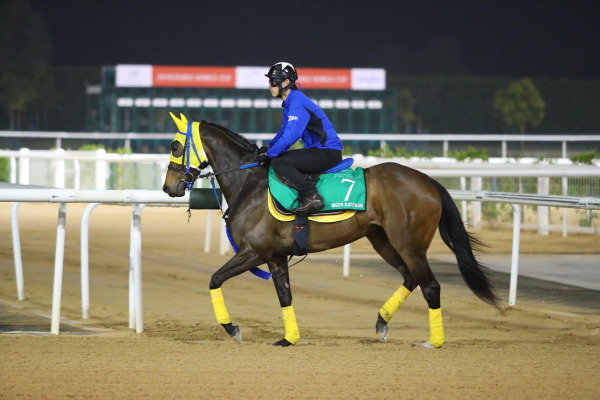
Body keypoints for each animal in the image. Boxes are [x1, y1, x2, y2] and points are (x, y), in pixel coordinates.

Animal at [162, 112, 500, 346]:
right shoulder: (275, 256)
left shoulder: (253, 252)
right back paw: (381, 323)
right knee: (410, 278)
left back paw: (434, 341)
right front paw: (289, 338)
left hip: (410, 245)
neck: (250, 183)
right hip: (383, 241)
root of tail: (429, 181)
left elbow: (215, 279)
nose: (169, 188)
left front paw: (232, 329)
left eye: (176, 145)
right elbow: (285, 296)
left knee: (430, 286)